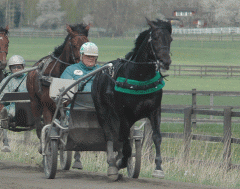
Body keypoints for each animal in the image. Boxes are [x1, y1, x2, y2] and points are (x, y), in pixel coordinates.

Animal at [92, 18, 172, 179]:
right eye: (155, 38)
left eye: (171, 39)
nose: (166, 62)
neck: (140, 78)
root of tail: (100, 72)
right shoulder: (124, 115)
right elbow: (126, 145)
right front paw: (120, 162)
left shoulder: (155, 111)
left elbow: (156, 137)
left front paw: (158, 168)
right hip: (103, 112)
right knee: (109, 135)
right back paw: (112, 163)